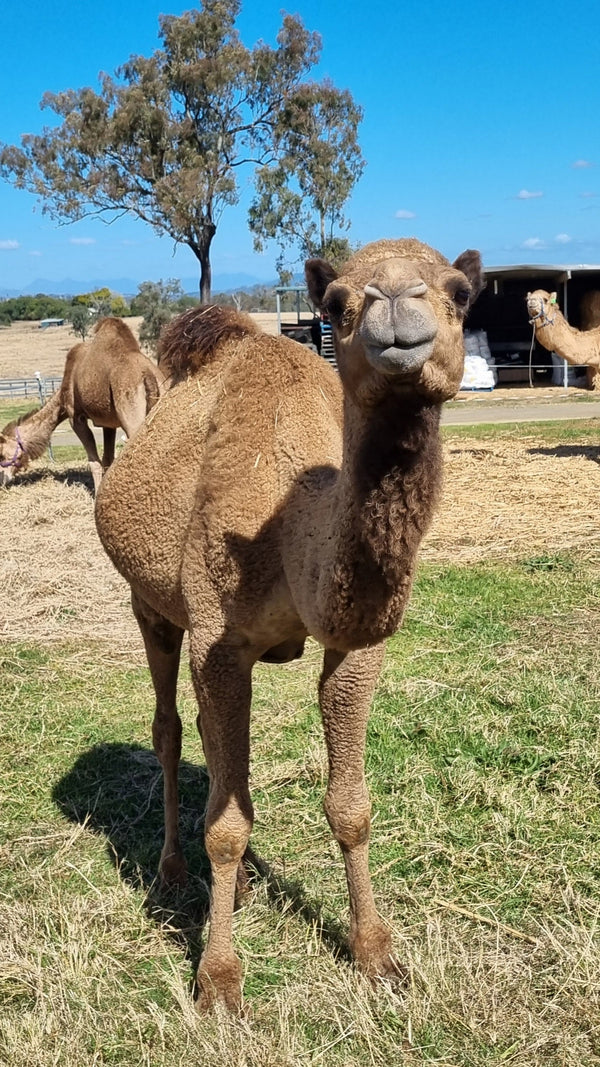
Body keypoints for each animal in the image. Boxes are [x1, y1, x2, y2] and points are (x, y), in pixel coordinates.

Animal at [0, 317, 164, 490]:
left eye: (2, 454)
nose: (2, 479)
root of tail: (148, 375)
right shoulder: (108, 423)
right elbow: (107, 458)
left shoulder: (75, 416)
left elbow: (94, 461)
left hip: (130, 409)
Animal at [95, 237, 484, 1011]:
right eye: (334, 303)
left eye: (460, 292)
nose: (398, 306)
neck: (287, 526)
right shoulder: (217, 639)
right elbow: (224, 825)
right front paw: (218, 981)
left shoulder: (354, 647)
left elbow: (350, 806)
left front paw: (376, 952)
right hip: (150, 606)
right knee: (168, 729)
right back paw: (174, 871)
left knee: (209, 748)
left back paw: (241, 882)